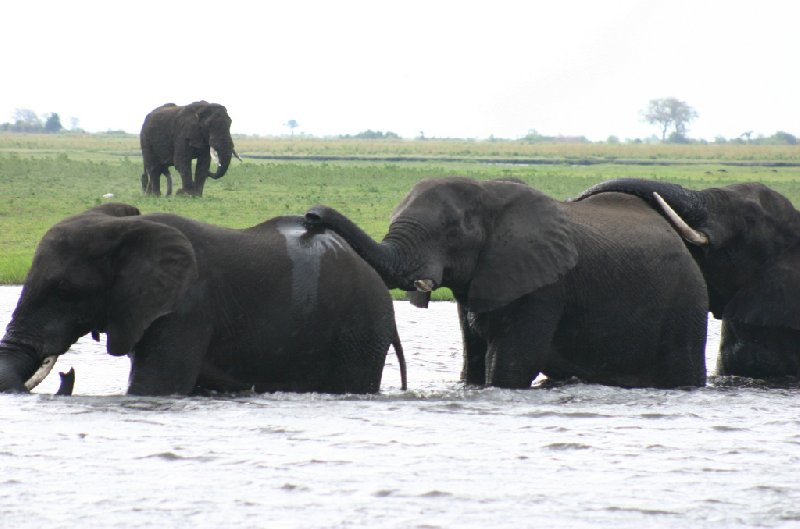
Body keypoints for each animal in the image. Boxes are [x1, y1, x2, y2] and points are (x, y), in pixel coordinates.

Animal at [0, 204, 406, 394]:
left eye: (64, 290)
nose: (67, 375)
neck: (125, 228)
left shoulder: (188, 305)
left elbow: (155, 386)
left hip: (359, 332)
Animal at [304, 177, 708, 388]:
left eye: (453, 232)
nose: (311, 216)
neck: (488, 195)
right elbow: (474, 361)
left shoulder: (545, 288)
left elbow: (511, 365)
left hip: (685, 302)